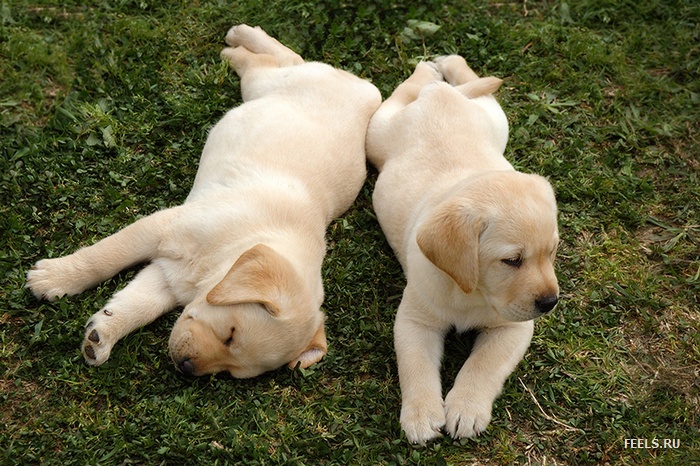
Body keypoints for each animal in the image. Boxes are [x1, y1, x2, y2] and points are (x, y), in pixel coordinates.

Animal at [27, 23, 380, 378]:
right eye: (230, 334)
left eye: (231, 371)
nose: (186, 367)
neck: (235, 247)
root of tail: (365, 89)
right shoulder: (163, 228)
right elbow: (104, 257)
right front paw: (56, 278)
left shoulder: (170, 276)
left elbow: (139, 304)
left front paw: (102, 334)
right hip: (265, 84)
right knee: (272, 61)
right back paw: (237, 41)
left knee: (284, 58)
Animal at [366, 56, 556, 442]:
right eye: (512, 261)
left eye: (552, 253)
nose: (551, 302)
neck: (473, 292)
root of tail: (440, 95)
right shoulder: (415, 320)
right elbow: (416, 366)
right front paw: (421, 414)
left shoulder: (513, 329)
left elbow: (484, 365)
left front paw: (466, 408)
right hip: (379, 131)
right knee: (404, 91)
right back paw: (429, 67)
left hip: (496, 120)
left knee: (467, 83)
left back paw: (446, 65)